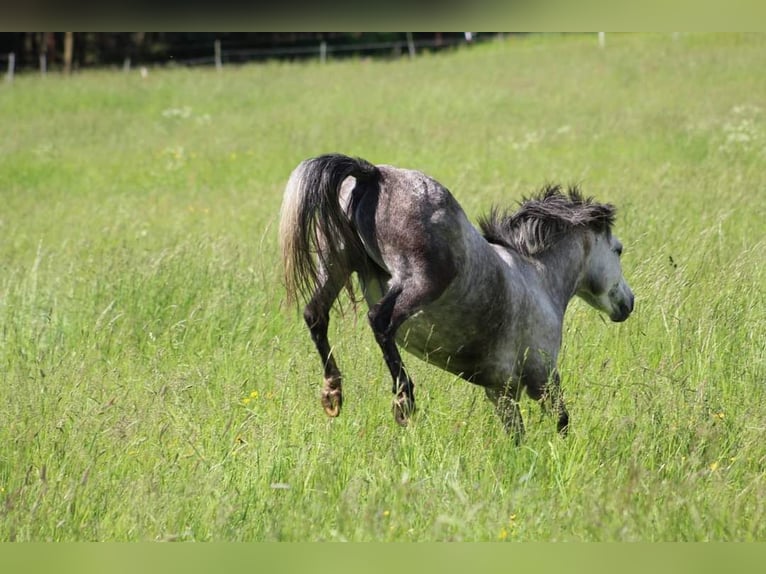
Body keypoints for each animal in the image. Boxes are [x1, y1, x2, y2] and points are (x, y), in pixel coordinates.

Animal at [280, 153, 632, 440]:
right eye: (618, 249)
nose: (628, 303)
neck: (537, 277)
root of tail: (374, 174)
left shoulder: (500, 391)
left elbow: (517, 437)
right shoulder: (543, 376)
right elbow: (562, 422)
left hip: (338, 262)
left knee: (315, 314)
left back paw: (332, 393)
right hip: (422, 279)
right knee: (380, 319)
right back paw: (404, 400)